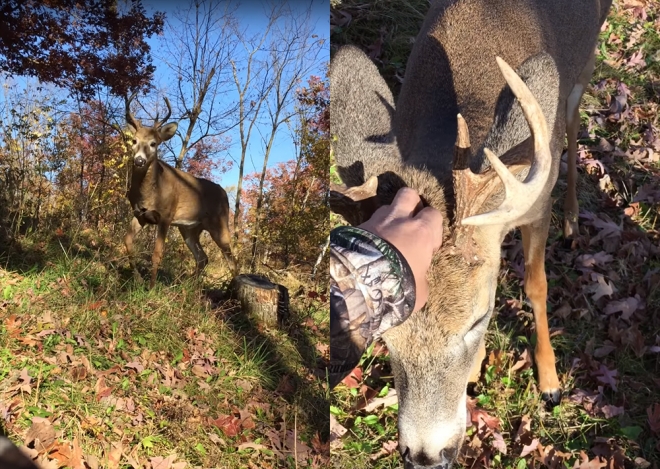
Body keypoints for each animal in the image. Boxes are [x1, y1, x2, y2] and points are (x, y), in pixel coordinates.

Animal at [124, 93, 237, 288]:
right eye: (134, 141)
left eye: (154, 143)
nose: (139, 160)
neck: (150, 192)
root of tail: (224, 193)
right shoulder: (140, 214)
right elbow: (127, 241)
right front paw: (137, 279)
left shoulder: (166, 216)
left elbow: (157, 253)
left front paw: (151, 287)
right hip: (190, 228)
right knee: (202, 257)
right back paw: (187, 286)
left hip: (220, 223)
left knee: (231, 259)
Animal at [332, 0, 612, 464]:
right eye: (384, 334)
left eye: (479, 318)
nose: (426, 456)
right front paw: (478, 369)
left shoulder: (537, 206)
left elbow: (536, 286)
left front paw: (550, 382)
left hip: (586, 65)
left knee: (573, 122)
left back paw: (573, 219)